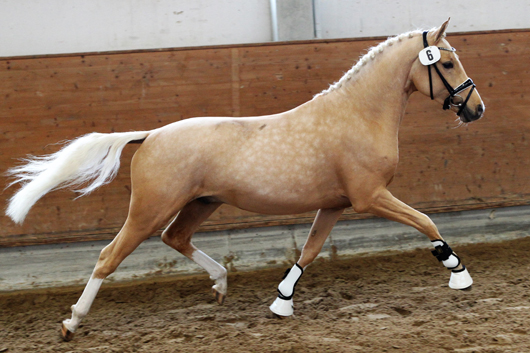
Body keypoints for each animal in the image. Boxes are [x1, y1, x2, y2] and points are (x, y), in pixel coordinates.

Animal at [5, 18, 482, 338]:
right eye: (449, 64)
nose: (476, 110)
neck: (357, 115)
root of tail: (150, 135)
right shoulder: (371, 196)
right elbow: (426, 221)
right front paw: (458, 273)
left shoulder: (335, 204)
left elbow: (309, 252)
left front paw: (281, 302)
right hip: (148, 210)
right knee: (109, 256)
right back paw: (71, 322)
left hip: (200, 204)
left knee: (175, 238)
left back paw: (219, 283)